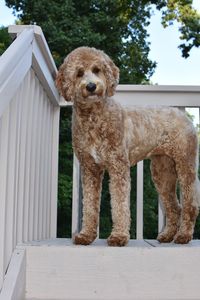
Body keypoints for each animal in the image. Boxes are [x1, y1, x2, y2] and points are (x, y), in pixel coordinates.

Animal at [56, 47, 200, 246]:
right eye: (79, 73)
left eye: (97, 69)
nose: (91, 86)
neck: (94, 118)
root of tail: (184, 116)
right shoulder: (90, 168)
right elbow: (90, 205)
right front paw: (86, 235)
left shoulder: (118, 166)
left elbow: (119, 204)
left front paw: (118, 237)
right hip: (162, 172)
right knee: (173, 207)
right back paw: (167, 235)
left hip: (185, 164)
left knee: (190, 203)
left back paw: (183, 236)